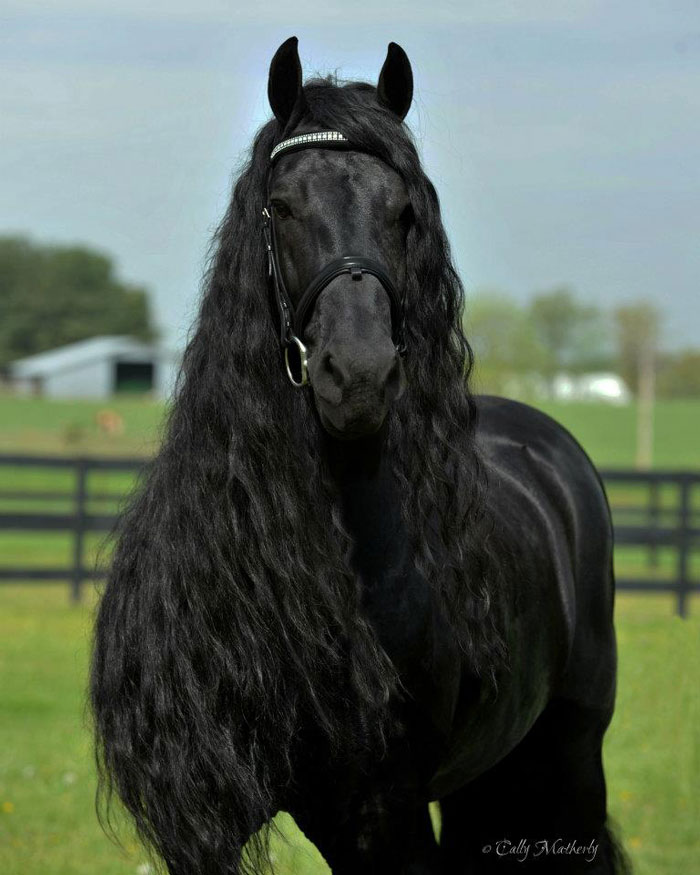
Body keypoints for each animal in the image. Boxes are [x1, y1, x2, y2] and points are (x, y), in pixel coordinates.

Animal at [90, 37, 629, 874]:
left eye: (403, 210)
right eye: (280, 205)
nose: (358, 375)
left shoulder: (382, 812)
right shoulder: (203, 820)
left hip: (570, 757)